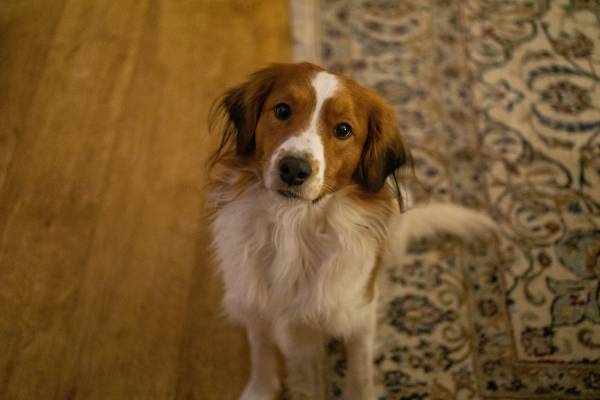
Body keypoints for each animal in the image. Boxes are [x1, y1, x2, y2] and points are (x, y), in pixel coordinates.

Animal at [206, 63, 492, 400]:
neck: (294, 227)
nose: (294, 169)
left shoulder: (359, 312)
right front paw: (260, 391)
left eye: (343, 130)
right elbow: (261, 351)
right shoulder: (255, 303)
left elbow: (360, 372)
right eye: (282, 110)